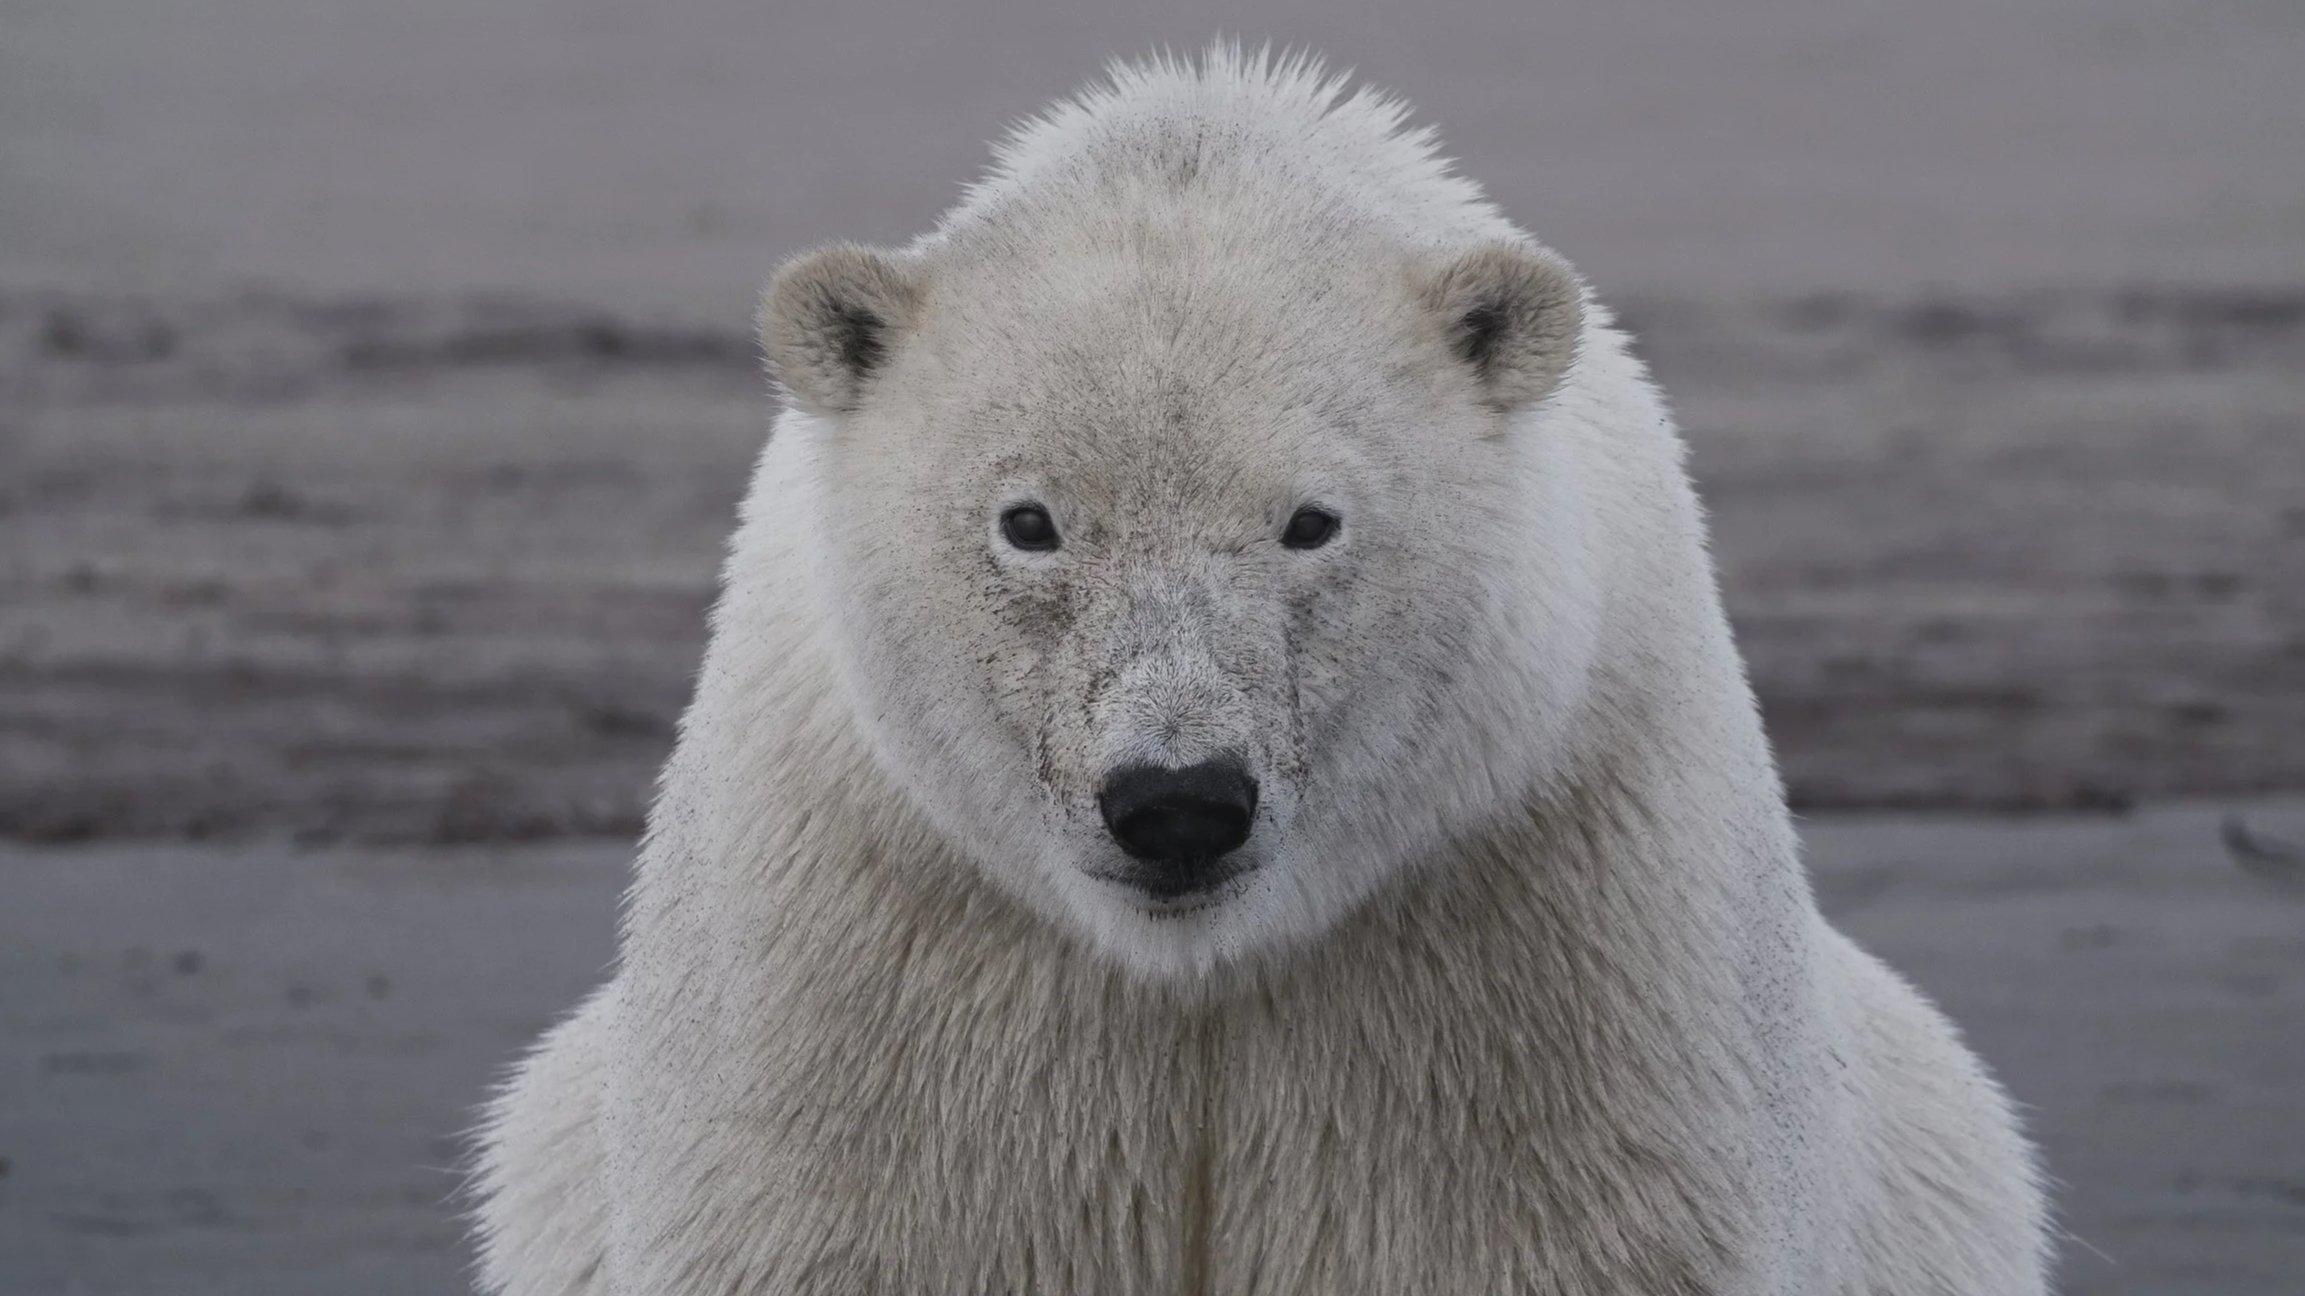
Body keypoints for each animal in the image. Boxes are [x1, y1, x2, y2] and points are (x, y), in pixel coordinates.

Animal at [469, 47, 2050, 1295]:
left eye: (1309, 521)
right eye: (1030, 521)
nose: (1176, 800)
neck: (1193, 972)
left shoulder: (1539, 935)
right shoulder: (878, 957)